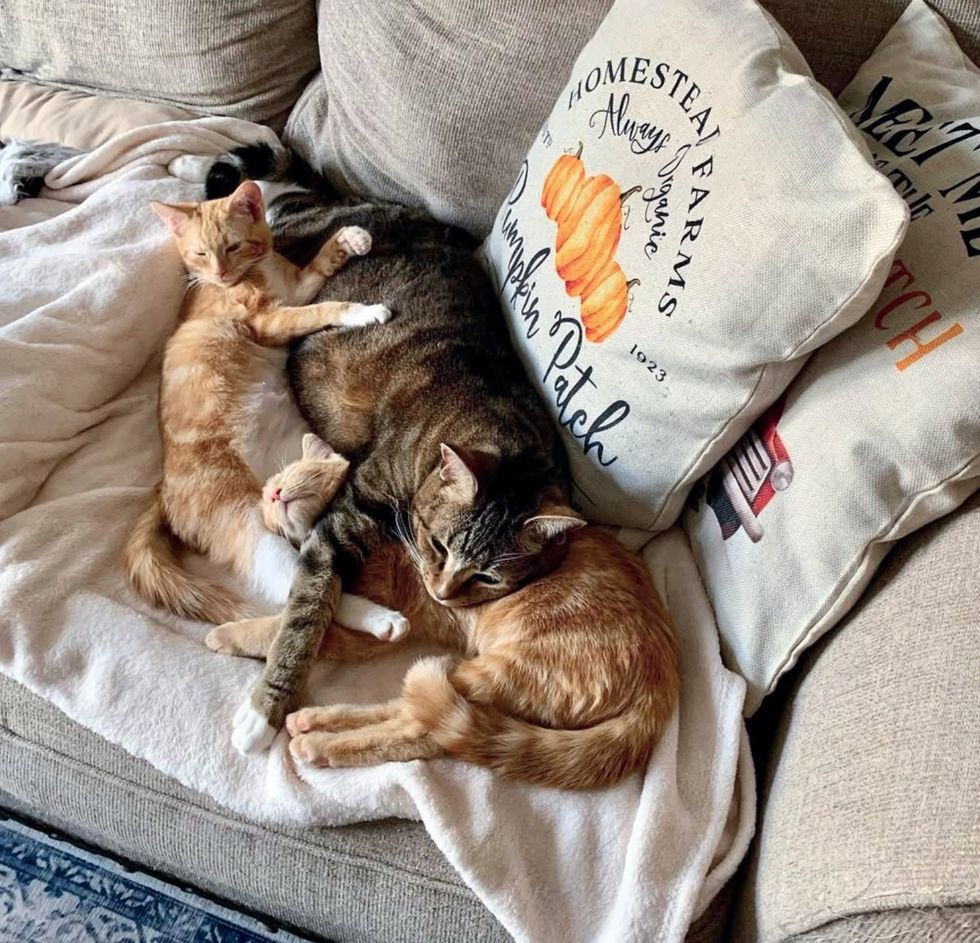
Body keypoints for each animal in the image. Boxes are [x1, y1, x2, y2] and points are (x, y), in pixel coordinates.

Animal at [121, 179, 406, 656]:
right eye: (200, 254)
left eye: (232, 246)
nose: (220, 274)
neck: (257, 269)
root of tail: (162, 489)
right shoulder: (269, 317)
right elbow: (323, 308)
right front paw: (363, 311)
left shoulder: (295, 289)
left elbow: (318, 268)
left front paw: (350, 238)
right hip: (248, 527)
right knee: (300, 586)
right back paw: (380, 618)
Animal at [177, 146, 580, 752]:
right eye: (437, 545)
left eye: (489, 578)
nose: (442, 593)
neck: (493, 421)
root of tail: (345, 200)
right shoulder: (345, 513)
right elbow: (307, 611)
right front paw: (265, 712)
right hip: (280, 245)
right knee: (255, 182)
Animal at [210, 450, 676, 788]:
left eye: (304, 479)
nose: (273, 494)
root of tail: (663, 685)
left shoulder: (376, 622)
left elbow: (283, 626)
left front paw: (228, 635)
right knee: (412, 714)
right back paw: (314, 721)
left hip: (498, 672)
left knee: (417, 729)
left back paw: (320, 744)